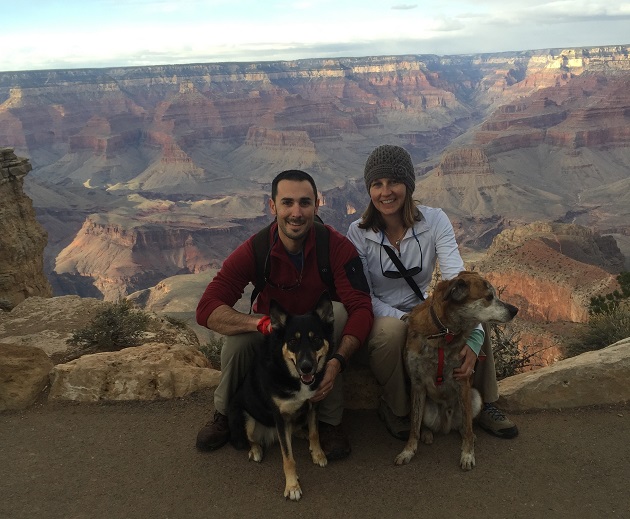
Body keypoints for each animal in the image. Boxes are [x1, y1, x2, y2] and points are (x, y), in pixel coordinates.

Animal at [228, 292, 336, 500]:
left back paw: (301, 433)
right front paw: (292, 486)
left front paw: (318, 453)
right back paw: (255, 450)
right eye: (293, 341)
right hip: (247, 419)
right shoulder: (280, 416)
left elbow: (315, 432)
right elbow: (288, 458)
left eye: (316, 339)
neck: (293, 377)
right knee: (251, 438)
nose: (306, 367)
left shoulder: (313, 404)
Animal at [398, 272, 520, 472]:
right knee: (424, 423)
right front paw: (408, 451)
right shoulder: (417, 384)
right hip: (427, 407)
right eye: (489, 297)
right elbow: (414, 426)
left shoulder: (462, 381)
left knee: (465, 424)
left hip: (474, 397)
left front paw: (467, 454)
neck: (443, 333)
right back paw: (427, 434)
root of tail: (447, 424)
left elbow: (468, 427)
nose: (515, 310)